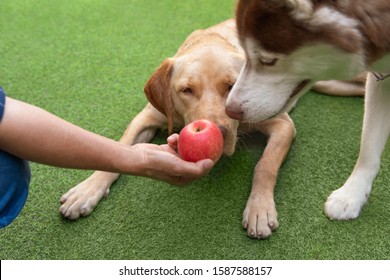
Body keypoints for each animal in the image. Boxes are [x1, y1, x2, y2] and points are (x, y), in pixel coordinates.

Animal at [59, 19, 364, 238]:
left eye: (231, 86)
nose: (220, 131)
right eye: (187, 90)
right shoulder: (146, 117)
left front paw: (259, 208)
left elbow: (265, 166)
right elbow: (119, 148)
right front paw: (87, 190)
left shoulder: (283, 124)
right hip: (333, 85)